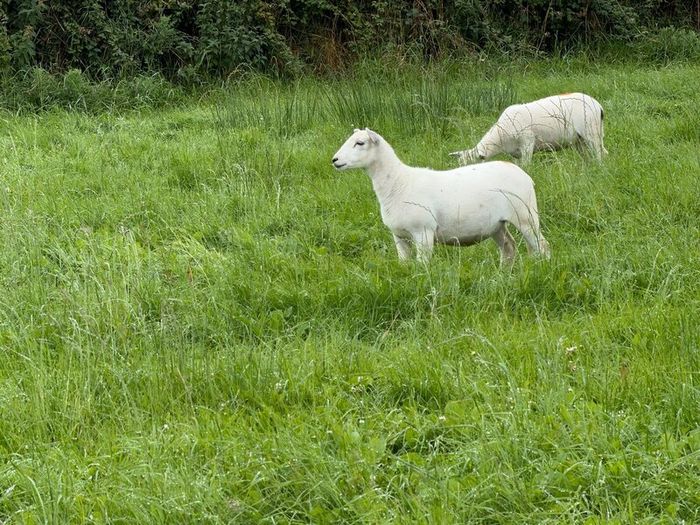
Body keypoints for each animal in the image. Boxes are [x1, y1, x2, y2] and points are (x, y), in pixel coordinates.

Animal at [331, 128, 550, 264]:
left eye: (360, 143)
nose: (334, 160)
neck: (398, 182)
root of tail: (521, 172)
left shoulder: (423, 232)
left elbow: (422, 265)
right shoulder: (399, 236)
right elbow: (404, 265)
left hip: (525, 216)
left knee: (542, 246)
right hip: (497, 224)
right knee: (509, 248)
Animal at [450, 93, 607, 166]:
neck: (500, 138)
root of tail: (599, 106)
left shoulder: (527, 143)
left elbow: (526, 166)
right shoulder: (516, 154)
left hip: (591, 133)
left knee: (599, 153)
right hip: (580, 140)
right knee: (589, 155)